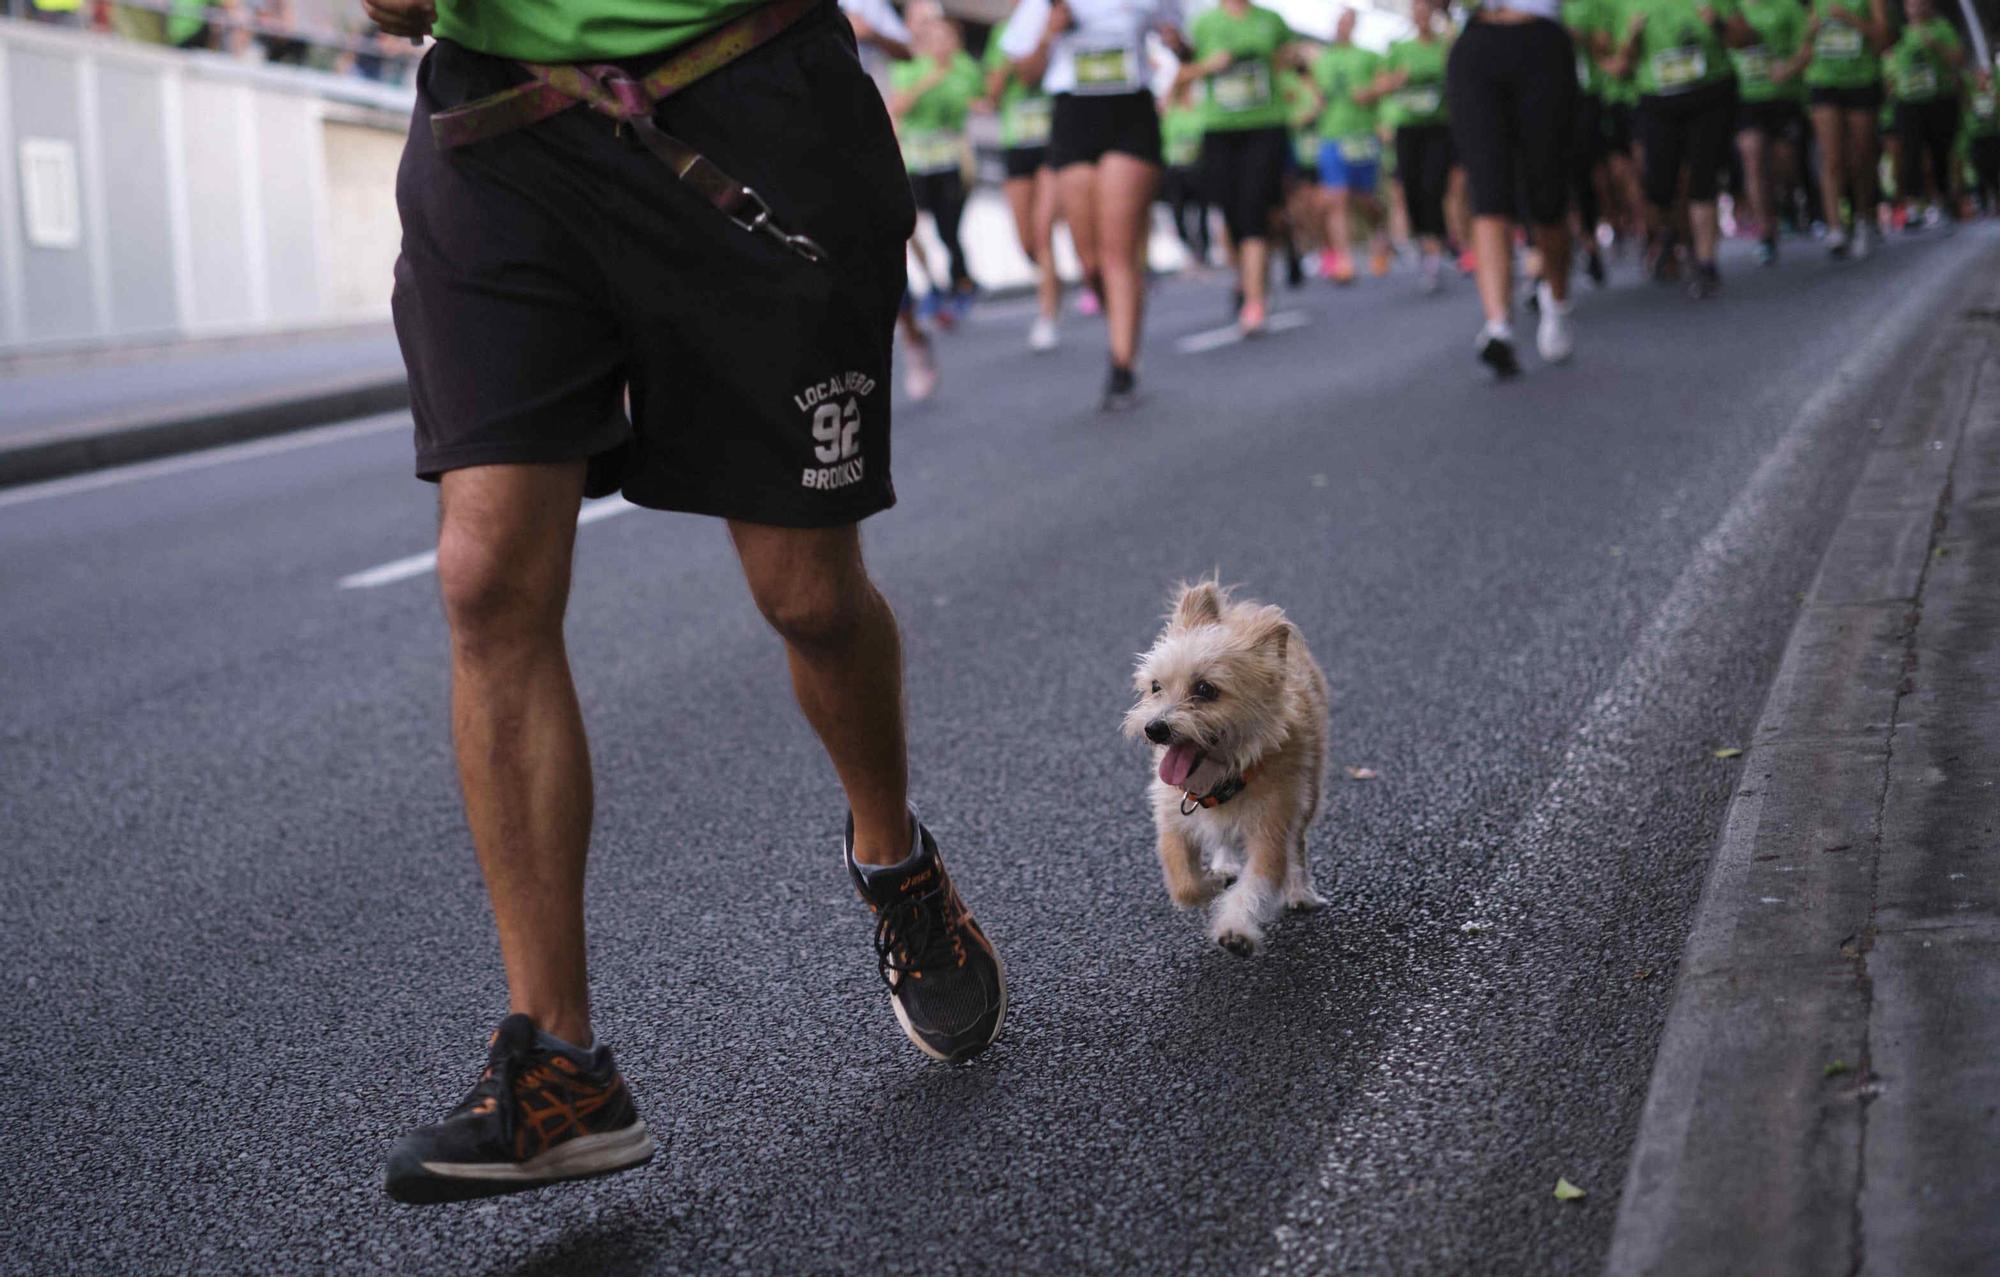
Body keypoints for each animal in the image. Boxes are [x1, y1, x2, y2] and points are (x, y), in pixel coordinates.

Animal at [1128, 584, 1328, 956]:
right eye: (1155, 687)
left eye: (1206, 690)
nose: (1155, 728)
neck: (1220, 780)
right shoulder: (1172, 821)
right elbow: (1184, 883)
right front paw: (1210, 885)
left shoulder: (1271, 829)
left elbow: (1255, 886)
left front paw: (1235, 930)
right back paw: (1223, 866)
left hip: (1308, 795)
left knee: (1298, 845)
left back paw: (1300, 890)